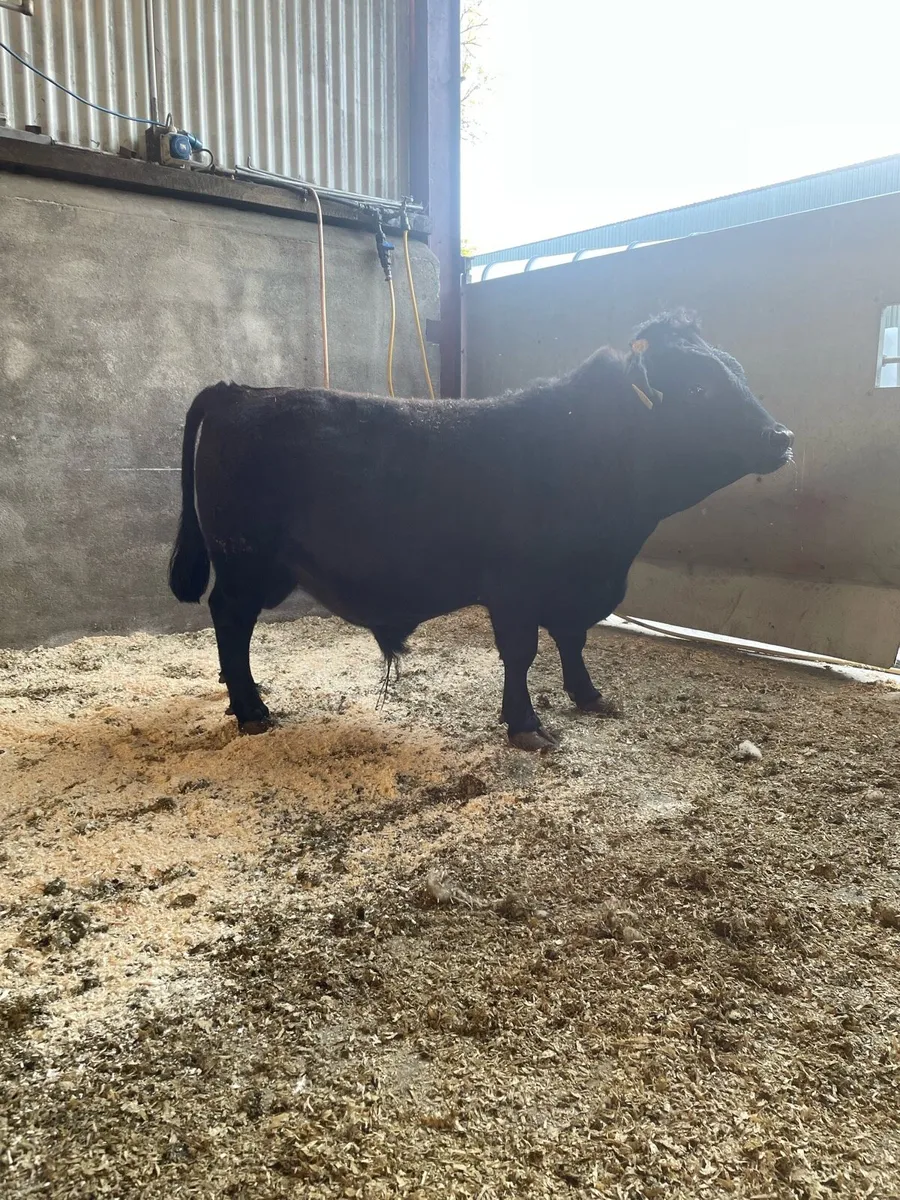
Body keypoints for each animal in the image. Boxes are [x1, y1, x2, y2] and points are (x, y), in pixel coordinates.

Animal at [168, 311, 793, 750]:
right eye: (699, 389)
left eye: (738, 374)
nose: (782, 436)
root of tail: (241, 390)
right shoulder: (515, 586)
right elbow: (521, 652)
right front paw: (527, 726)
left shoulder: (573, 585)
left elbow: (572, 638)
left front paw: (589, 696)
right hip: (246, 560)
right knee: (229, 617)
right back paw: (251, 710)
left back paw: (239, 697)